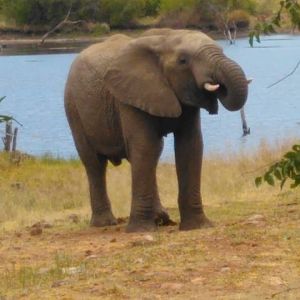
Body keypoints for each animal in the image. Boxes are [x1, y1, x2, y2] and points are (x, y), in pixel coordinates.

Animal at [64, 28, 250, 232]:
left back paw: (161, 219)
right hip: (73, 108)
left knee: (149, 155)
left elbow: (190, 146)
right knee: (94, 163)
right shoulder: (129, 96)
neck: (164, 39)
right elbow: (146, 146)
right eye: (183, 60)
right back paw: (105, 224)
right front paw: (140, 230)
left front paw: (197, 227)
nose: (219, 86)